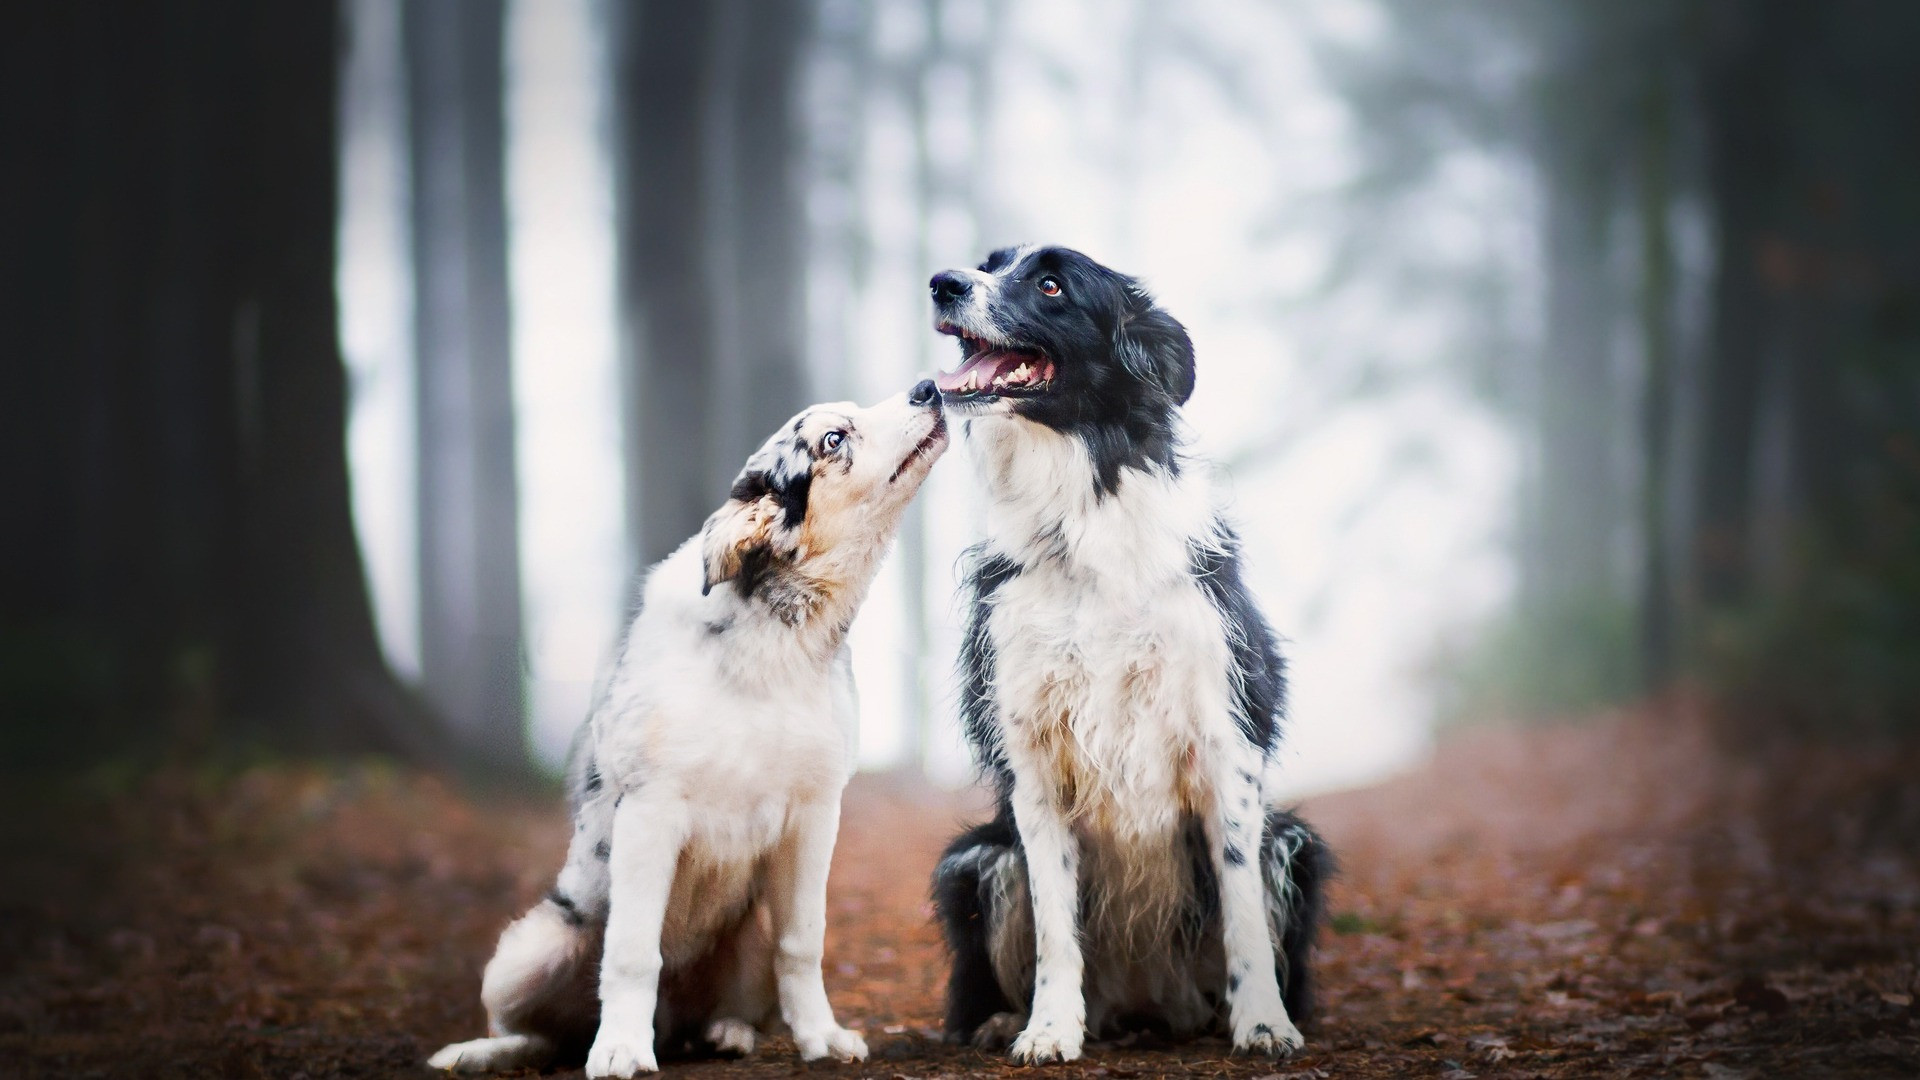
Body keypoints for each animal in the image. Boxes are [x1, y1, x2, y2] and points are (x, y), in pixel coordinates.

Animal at [432, 382, 948, 1068]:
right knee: (543, 1033)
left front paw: (821, 1037)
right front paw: (621, 1051)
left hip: (746, 937)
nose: (929, 386)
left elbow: (803, 943)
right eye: (834, 438)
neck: (775, 646)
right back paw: (484, 1051)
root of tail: (672, 1023)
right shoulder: (651, 811)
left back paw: (726, 1032)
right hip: (527, 951)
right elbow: (631, 953)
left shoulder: (814, 814)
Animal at [929, 244, 1336, 1060]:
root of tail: (1151, 1004)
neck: (1080, 520)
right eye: (988, 262)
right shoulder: (1033, 762)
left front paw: (1264, 1024)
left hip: (1298, 844)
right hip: (974, 861)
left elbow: (1243, 911)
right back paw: (1001, 1021)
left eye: (1051, 284)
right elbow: (1056, 927)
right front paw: (1049, 1031)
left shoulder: (1225, 744)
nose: (942, 283)